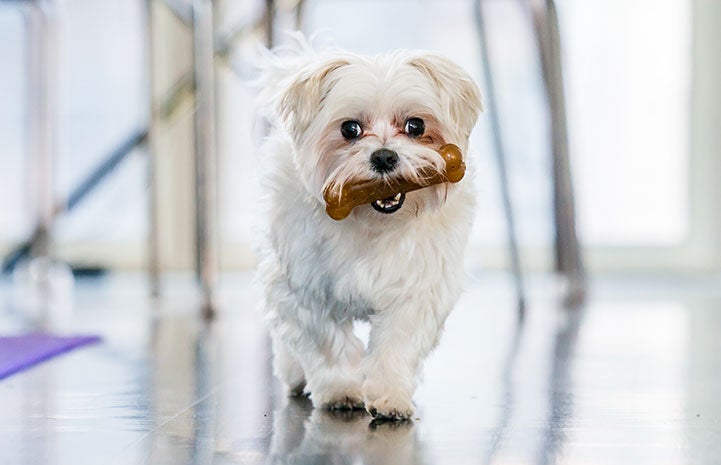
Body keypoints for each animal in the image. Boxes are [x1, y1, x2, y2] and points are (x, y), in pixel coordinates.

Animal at [256, 37, 480, 420]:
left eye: (416, 126)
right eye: (350, 129)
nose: (384, 156)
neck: (373, 224)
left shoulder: (417, 289)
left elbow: (397, 344)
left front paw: (390, 395)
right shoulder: (305, 289)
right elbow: (327, 341)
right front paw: (341, 389)